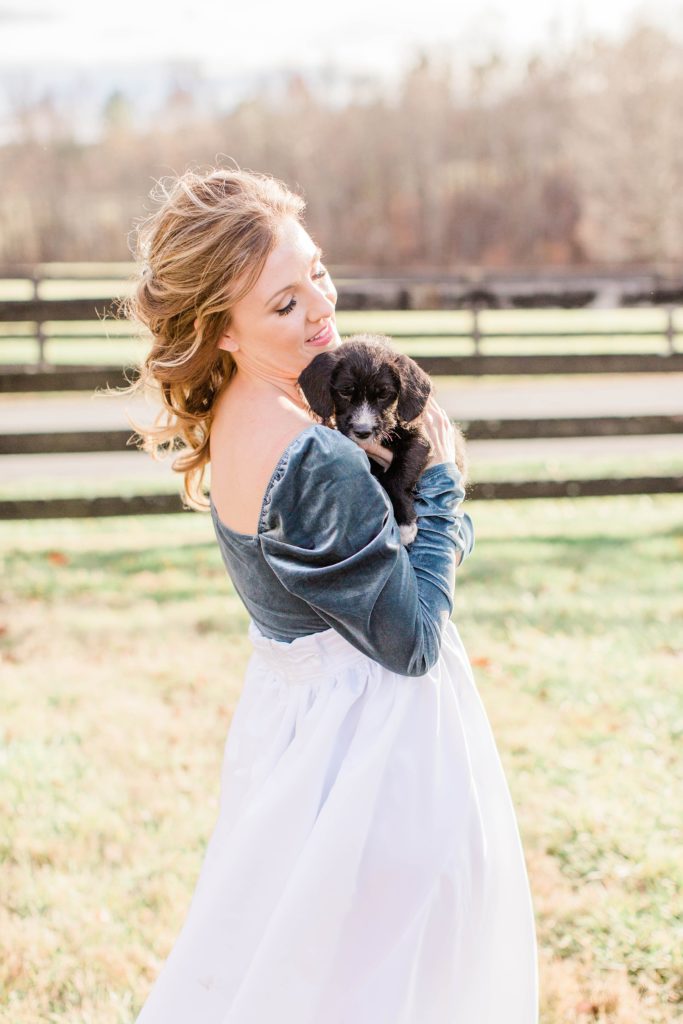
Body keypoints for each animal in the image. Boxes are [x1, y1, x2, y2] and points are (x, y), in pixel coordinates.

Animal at [296, 333, 464, 544]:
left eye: (384, 394)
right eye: (345, 392)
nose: (363, 431)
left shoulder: (419, 440)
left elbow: (397, 476)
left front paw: (404, 524)